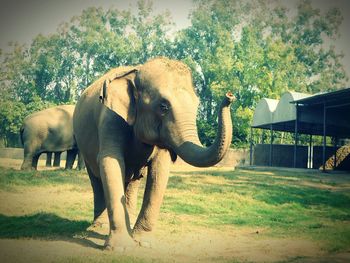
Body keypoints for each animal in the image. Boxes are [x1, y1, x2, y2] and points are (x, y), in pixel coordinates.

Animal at [72, 57, 234, 252]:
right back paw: (98, 226)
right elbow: (111, 162)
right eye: (163, 106)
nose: (229, 96)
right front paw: (121, 248)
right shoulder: (110, 118)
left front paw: (143, 242)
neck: (136, 73)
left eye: (197, 105)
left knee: (131, 181)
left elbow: (159, 171)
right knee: (96, 179)